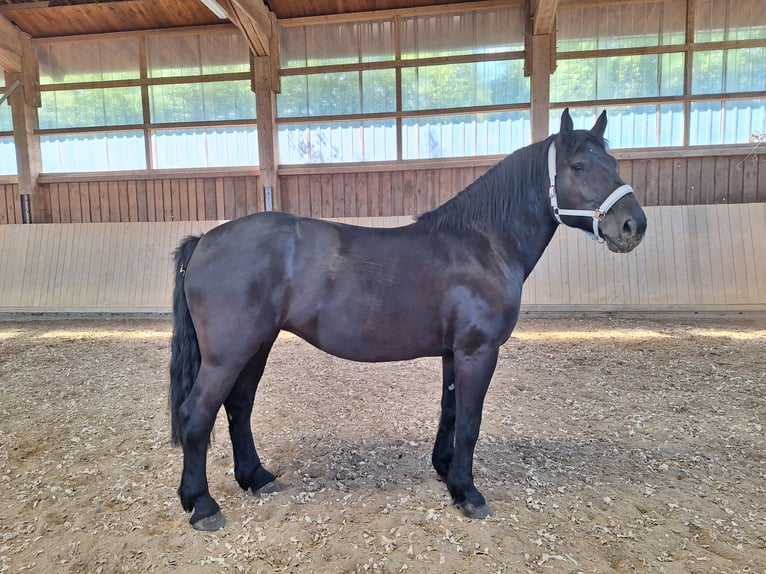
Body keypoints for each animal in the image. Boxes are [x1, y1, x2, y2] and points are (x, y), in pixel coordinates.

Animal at [169, 109, 647, 531]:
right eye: (579, 166)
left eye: (614, 163)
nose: (633, 226)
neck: (483, 244)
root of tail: (205, 240)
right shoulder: (478, 351)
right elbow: (470, 421)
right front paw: (468, 493)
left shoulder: (456, 352)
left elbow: (451, 412)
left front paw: (446, 472)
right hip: (229, 353)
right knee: (197, 413)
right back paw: (202, 505)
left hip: (256, 346)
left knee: (238, 407)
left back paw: (256, 478)